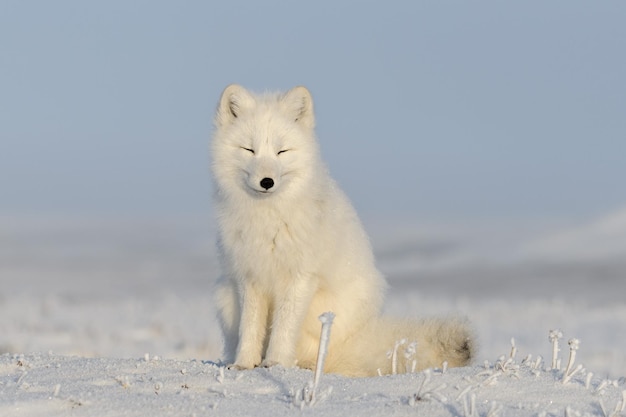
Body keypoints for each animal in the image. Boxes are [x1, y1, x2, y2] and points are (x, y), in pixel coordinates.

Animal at [211, 84, 472, 376]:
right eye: (249, 149)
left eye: (282, 151)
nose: (267, 182)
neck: (268, 218)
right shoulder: (249, 276)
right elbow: (250, 328)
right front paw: (244, 363)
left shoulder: (301, 277)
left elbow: (284, 328)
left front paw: (276, 363)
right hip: (224, 296)